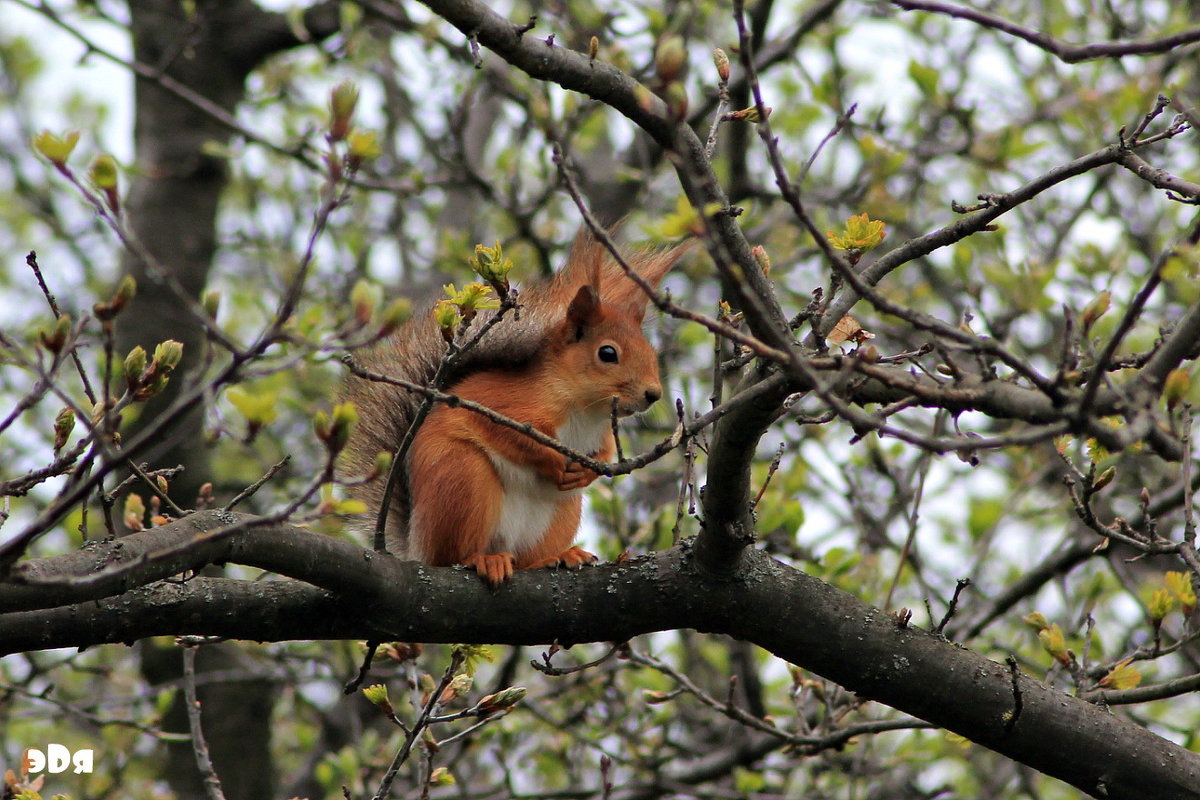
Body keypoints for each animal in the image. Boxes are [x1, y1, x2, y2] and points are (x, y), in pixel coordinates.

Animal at [340, 235, 686, 585]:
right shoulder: (502, 406)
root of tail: (418, 546)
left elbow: (603, 454)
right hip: (462, 479)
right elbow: (513, 437)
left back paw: (560, 556)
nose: (653, 394)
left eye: (650, 350)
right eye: (607, 353)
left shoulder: (600, 434)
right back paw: (484, 559)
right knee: (455, 555)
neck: (584, 411)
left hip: (561, 512)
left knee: (527, 559)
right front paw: (553, 461)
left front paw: (587, 471)